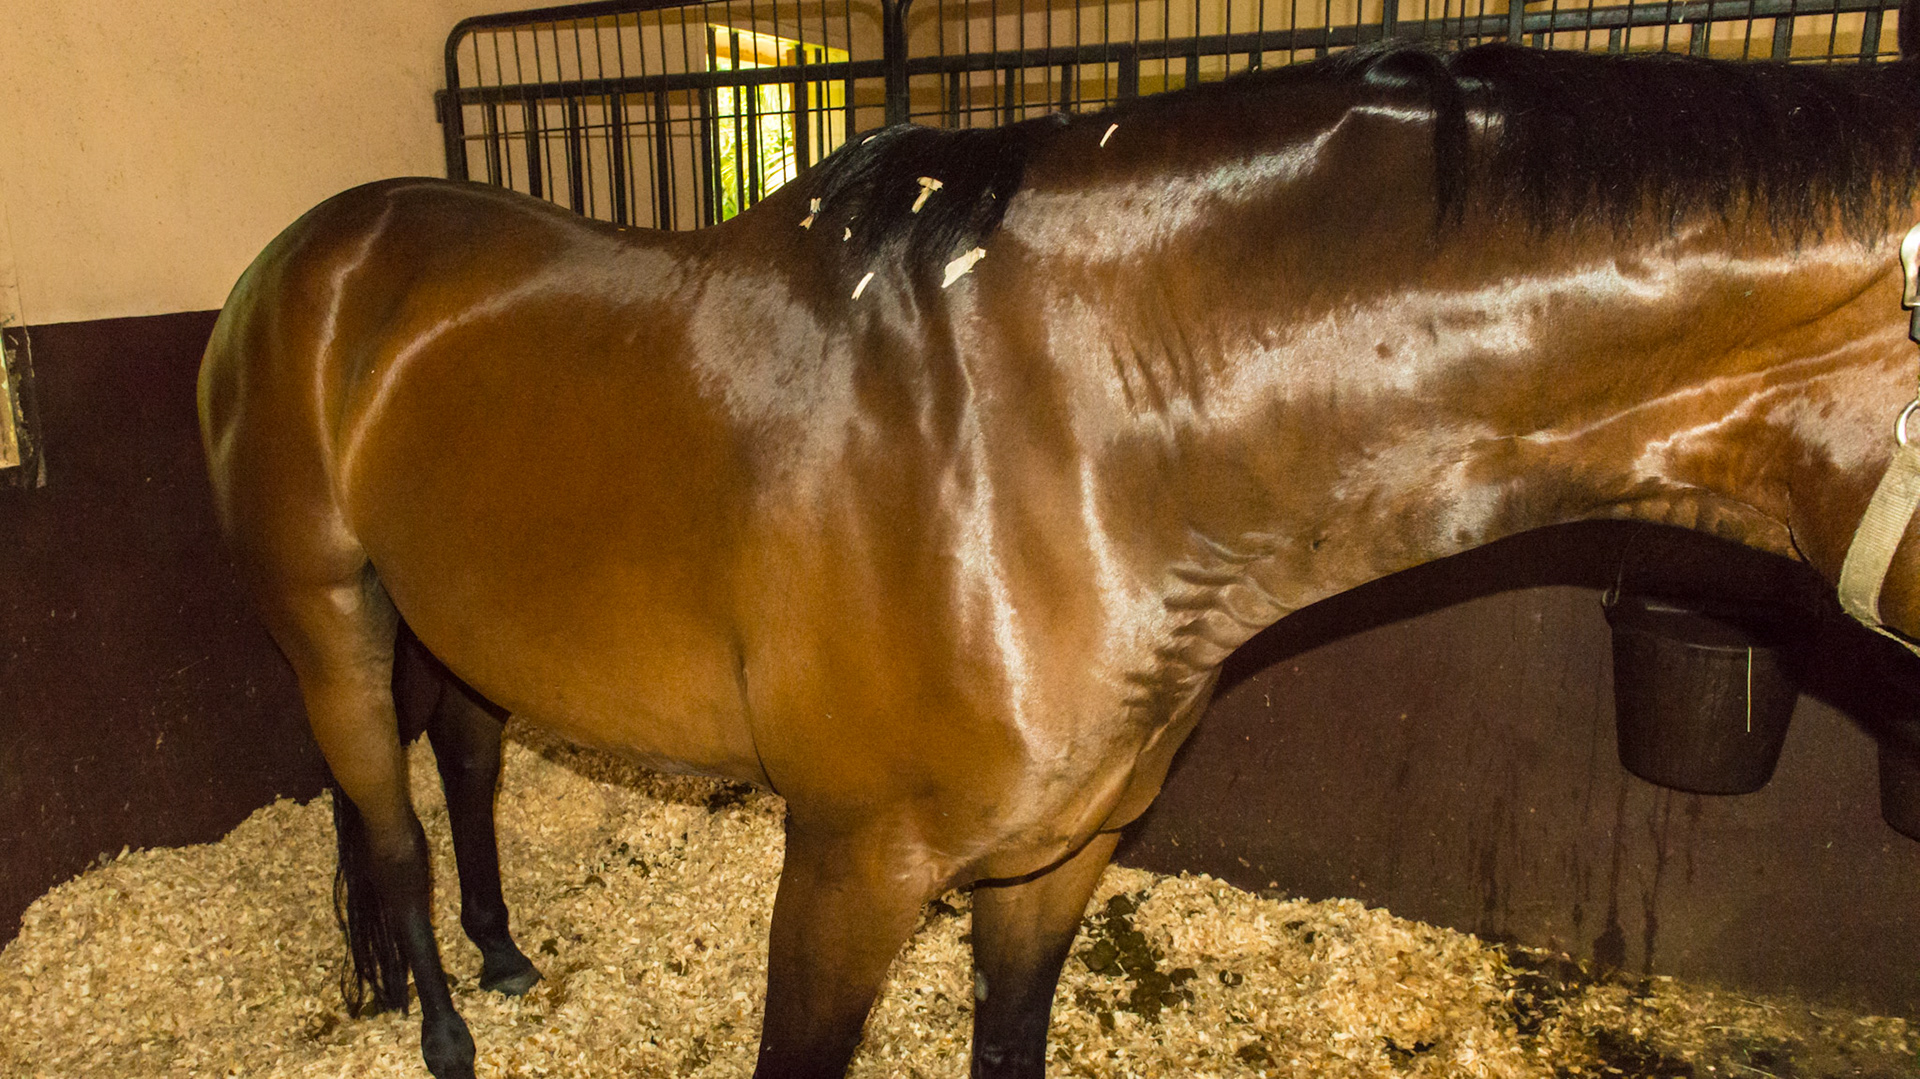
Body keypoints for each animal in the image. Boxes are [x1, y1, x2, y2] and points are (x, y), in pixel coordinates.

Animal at [199, 19, 1920, 1078]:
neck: (1075, 430)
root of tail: (302, 262)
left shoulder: (1063, 853)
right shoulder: (847, 864)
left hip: (454, 612)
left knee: (467, 762)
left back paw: (501, 952)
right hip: (324, 617)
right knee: (392, 833)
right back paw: (443, 1028)